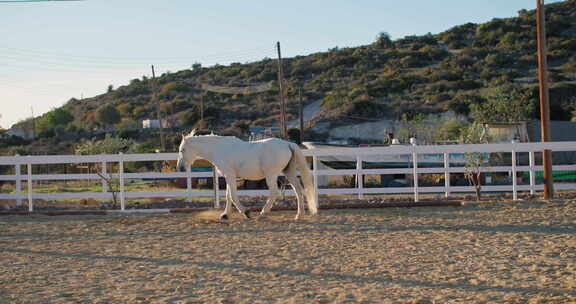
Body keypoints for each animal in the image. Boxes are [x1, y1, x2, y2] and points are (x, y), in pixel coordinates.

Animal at [177, 129, 320, 220]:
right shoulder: (229, 176)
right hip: (288, 172)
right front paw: (225, 215)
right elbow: (229, 196)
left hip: (271, 175)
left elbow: (233, 196)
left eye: (182, 149)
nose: (180, 168)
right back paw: (299, 215)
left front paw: (246, 212)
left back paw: (263, 213)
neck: (220, 149)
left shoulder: (229, 175)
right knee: (298, 190)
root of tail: (288, 144)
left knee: (274, 192)